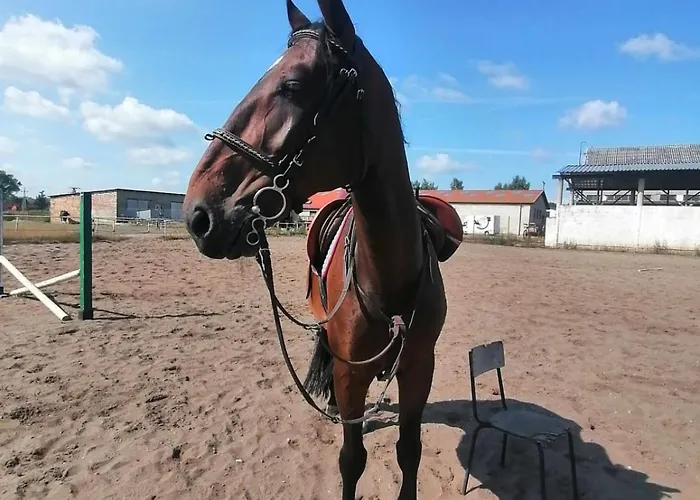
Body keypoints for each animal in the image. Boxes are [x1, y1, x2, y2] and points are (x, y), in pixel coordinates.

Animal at [182, 1, 463, 498]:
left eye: (293, 85)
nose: (198, 213)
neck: (388, 276)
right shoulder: (351, 373)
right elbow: (352, 459)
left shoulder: (418, 369)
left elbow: (409, 452)